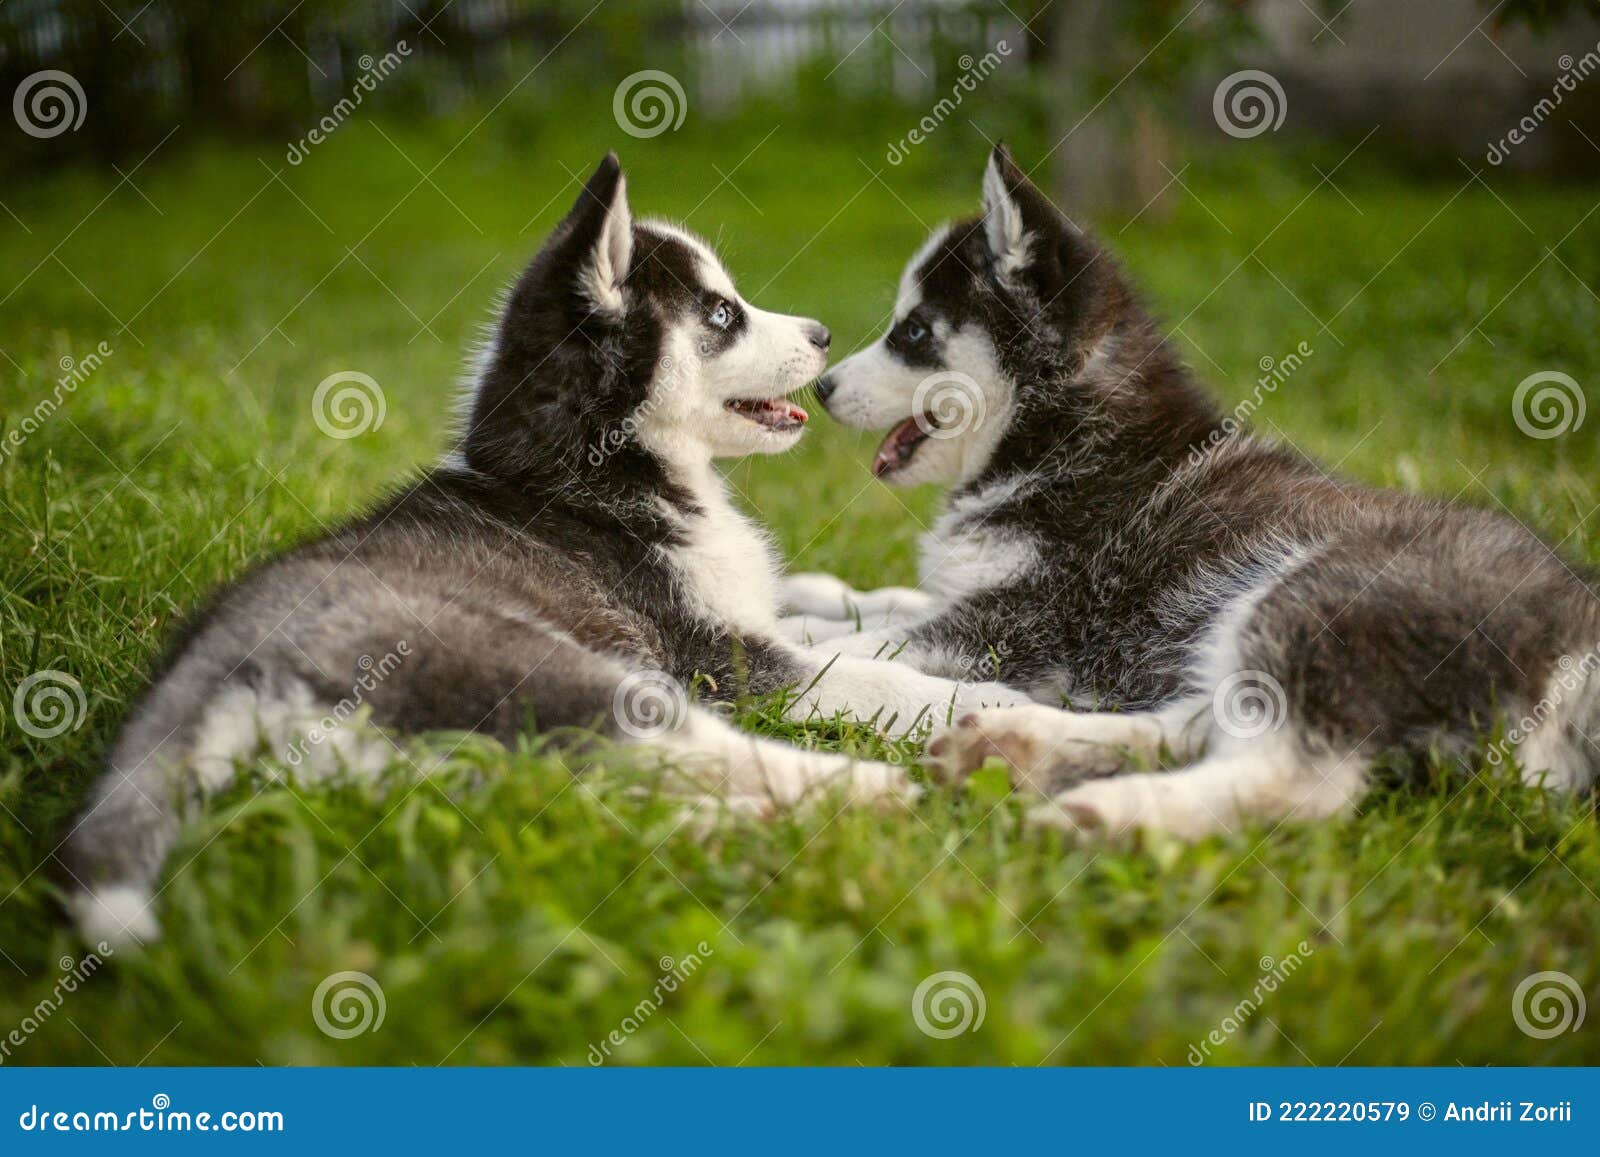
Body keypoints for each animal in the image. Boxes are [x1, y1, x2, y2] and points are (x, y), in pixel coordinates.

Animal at [68, 153, 1017, 947]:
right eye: (720, 312)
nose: (821, 334)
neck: (592, 472)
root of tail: (221, 654)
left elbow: (840, 613)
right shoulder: (717, 656)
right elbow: (865, 674)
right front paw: (983, 695)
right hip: (556, 668)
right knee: (708, 748)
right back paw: (878, 791)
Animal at [790, 144, 1600, 838]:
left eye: (914, 332)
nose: (823, 388)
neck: (1060, 438)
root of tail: (1580, 632)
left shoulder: (1023, 626)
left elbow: (871, 640)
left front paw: (792, 633)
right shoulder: (984, 598)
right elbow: (888, 602)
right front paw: (804, 599)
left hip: (1319, 601)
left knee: (1290, 779)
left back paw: (1106, 813)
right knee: (1196, 726)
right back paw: (1016, 746)